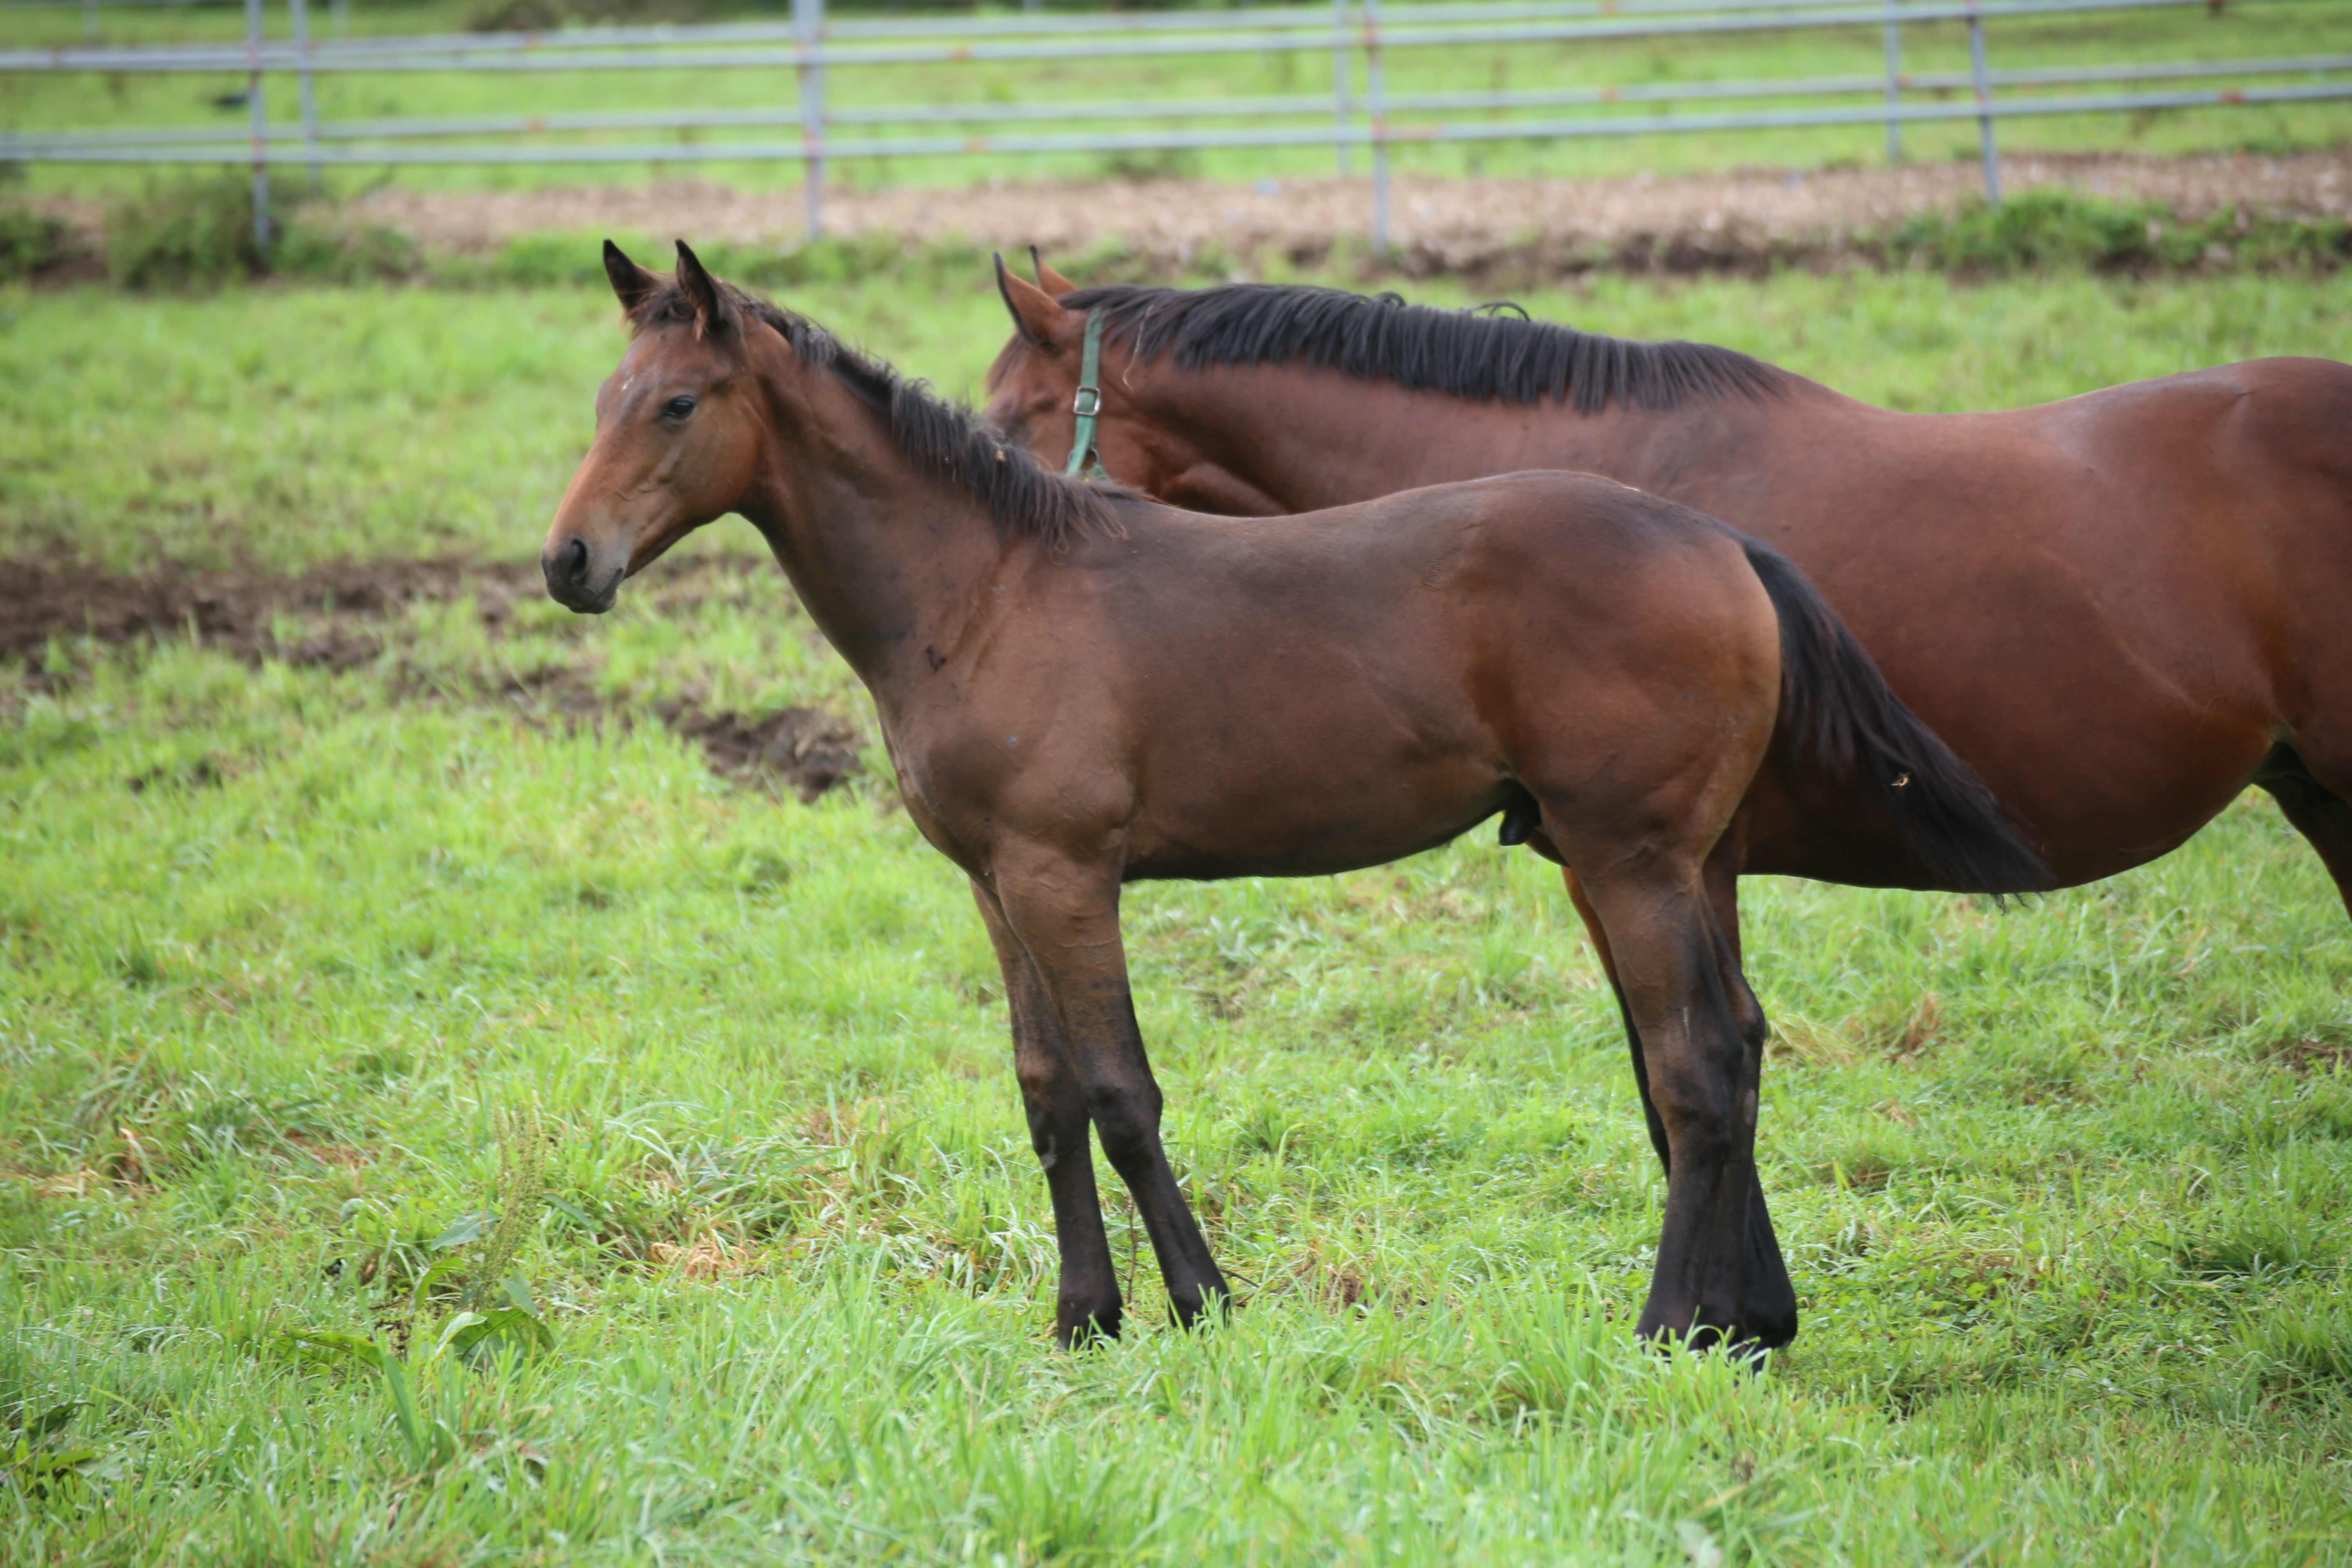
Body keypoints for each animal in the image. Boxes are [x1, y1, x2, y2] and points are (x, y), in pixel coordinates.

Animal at [539, 240, 2041, 1354]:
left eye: (679, 405)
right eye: (603, 398)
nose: (569, 563)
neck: (985, 587)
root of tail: (1724, 541)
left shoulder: (1064, 874)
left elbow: (1119, 1091)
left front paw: (1202, 1305)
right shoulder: (994, 883)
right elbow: (1044, 1094)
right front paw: (1084, 1319)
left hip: (1634, 858)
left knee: (1695, 1067)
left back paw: (1671, 1325)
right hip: (1686, 858)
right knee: (1735, 1043)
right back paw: (1746, 1325)